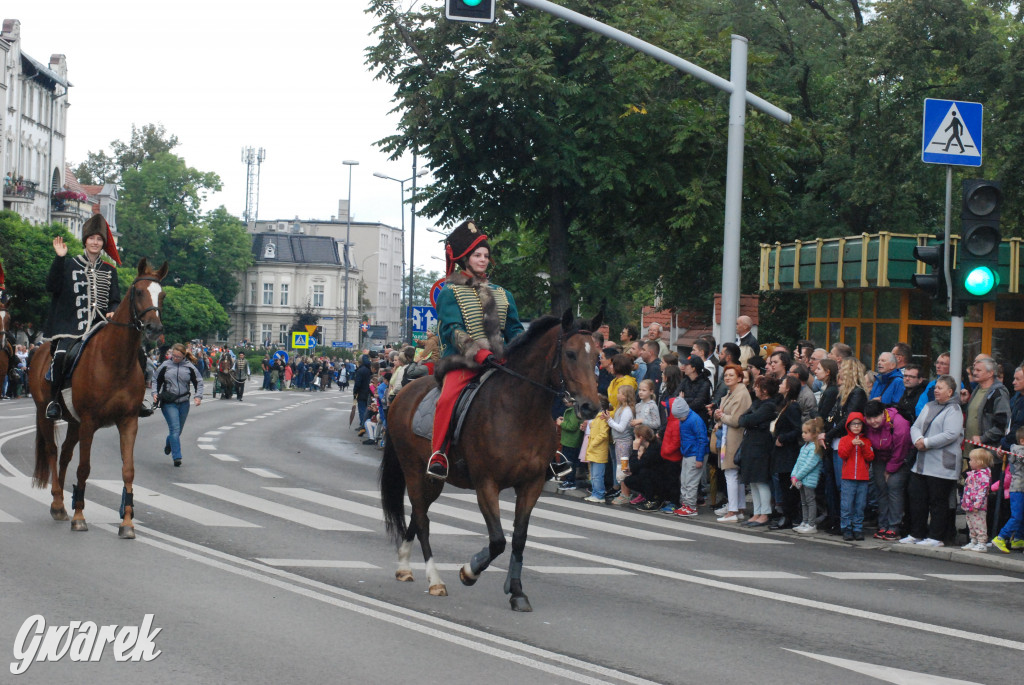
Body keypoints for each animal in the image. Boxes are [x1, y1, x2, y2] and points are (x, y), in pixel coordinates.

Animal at [28, 259, 166, 536]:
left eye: (162, 295)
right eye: (138, 292)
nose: (154, 328)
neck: (115, 359)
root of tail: (40, 350)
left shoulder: (128, 422)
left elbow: (128, 470)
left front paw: (127, 522)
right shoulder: (90, 422)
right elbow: (84, 468)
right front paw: (79, 516)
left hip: (74, 422)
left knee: (65, 455)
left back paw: (62, 503)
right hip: (45, 414)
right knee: (52, 451)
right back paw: (58, 504)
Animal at [378, 307, 598, 610]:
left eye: (597, 355)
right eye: (571, 354)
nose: (591, 407)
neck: (520, 410)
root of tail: (402, 394)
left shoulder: (531, 485)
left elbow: (519, 538)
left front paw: (516, 591)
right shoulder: (486, 484)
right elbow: (497, 540)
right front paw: (469, 572)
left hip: (432, 480)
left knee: (418, 515)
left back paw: (404, 565)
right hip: (413, 470)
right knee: (422, 521)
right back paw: (435, 580)